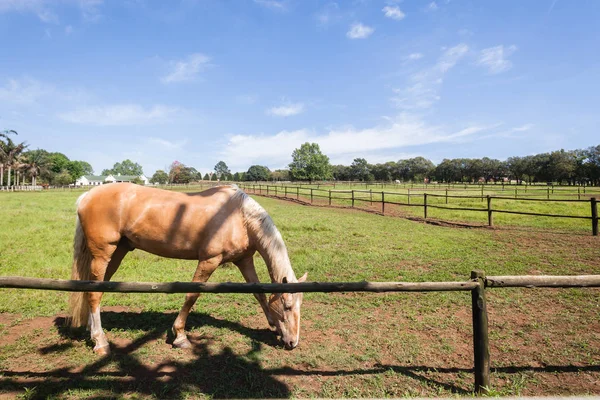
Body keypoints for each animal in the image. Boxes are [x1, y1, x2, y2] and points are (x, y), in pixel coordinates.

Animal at [68, 183, 308, 354]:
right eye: (287, 306)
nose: (292, 342)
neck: (239, 216)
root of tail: (86, 196)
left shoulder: (245, 260)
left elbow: (259, 293)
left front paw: (273, 325)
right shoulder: (209, 260)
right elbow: (192, 294)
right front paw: (180, 336)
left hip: (117, 252)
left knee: (93, 289)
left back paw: (92, 331)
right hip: (103, 254)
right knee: (94, 294)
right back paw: (100, 342)